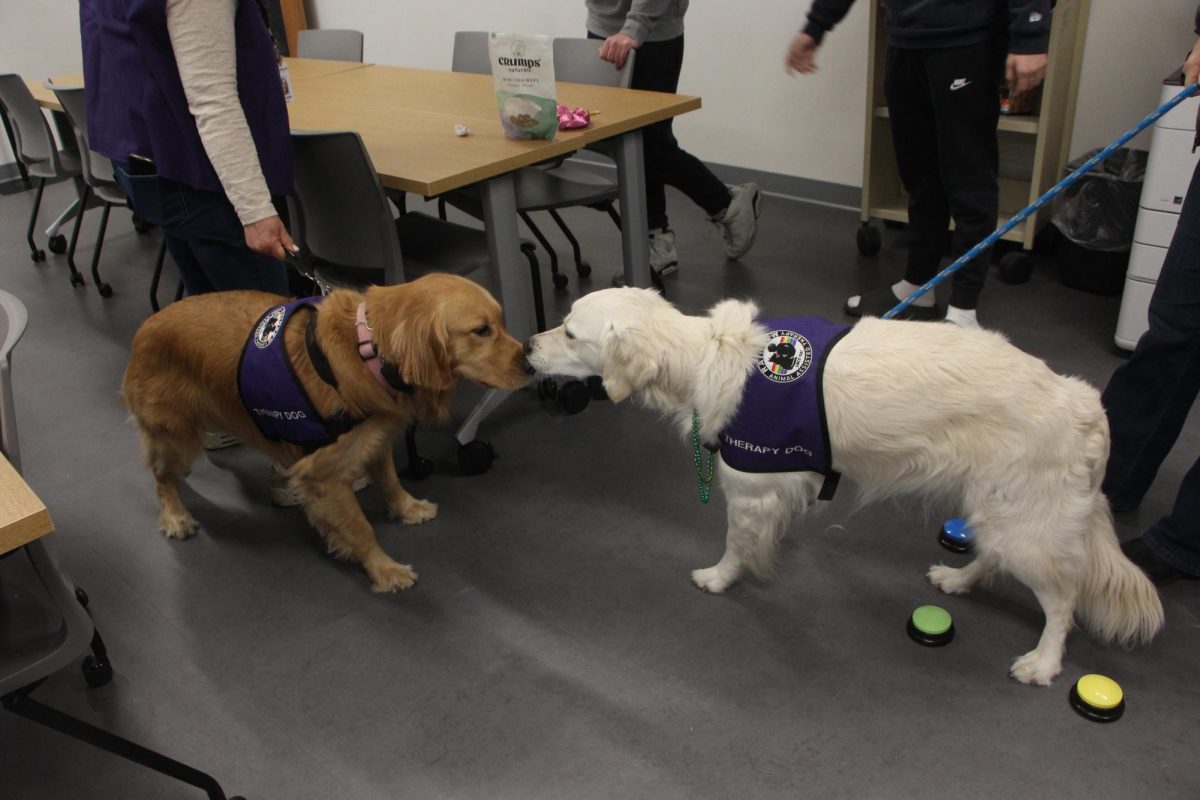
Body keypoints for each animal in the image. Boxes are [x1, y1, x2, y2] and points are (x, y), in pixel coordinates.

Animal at [125, 272, 530, 592]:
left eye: (500, 321)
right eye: (481, 331)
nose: (529, 363)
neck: (370, 351)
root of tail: (146, 325)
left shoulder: (372, 438)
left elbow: (389, 480)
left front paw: (407, 508)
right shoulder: (322, 475)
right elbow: (359, 527)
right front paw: (384, 570)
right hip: (176, 436)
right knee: (161, 477)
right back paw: (175, 517)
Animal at [528, 289, 1161, 690]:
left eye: (570, 331)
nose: (528, 345)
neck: (707, 355)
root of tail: (1085, 402)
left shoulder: (749, 493)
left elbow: (736, 545)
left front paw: (720, 577)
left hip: (1028, 522)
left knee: (1062, 602)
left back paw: (1043, 663)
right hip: (996, 507)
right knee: (994, 558)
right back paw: (957, 579)